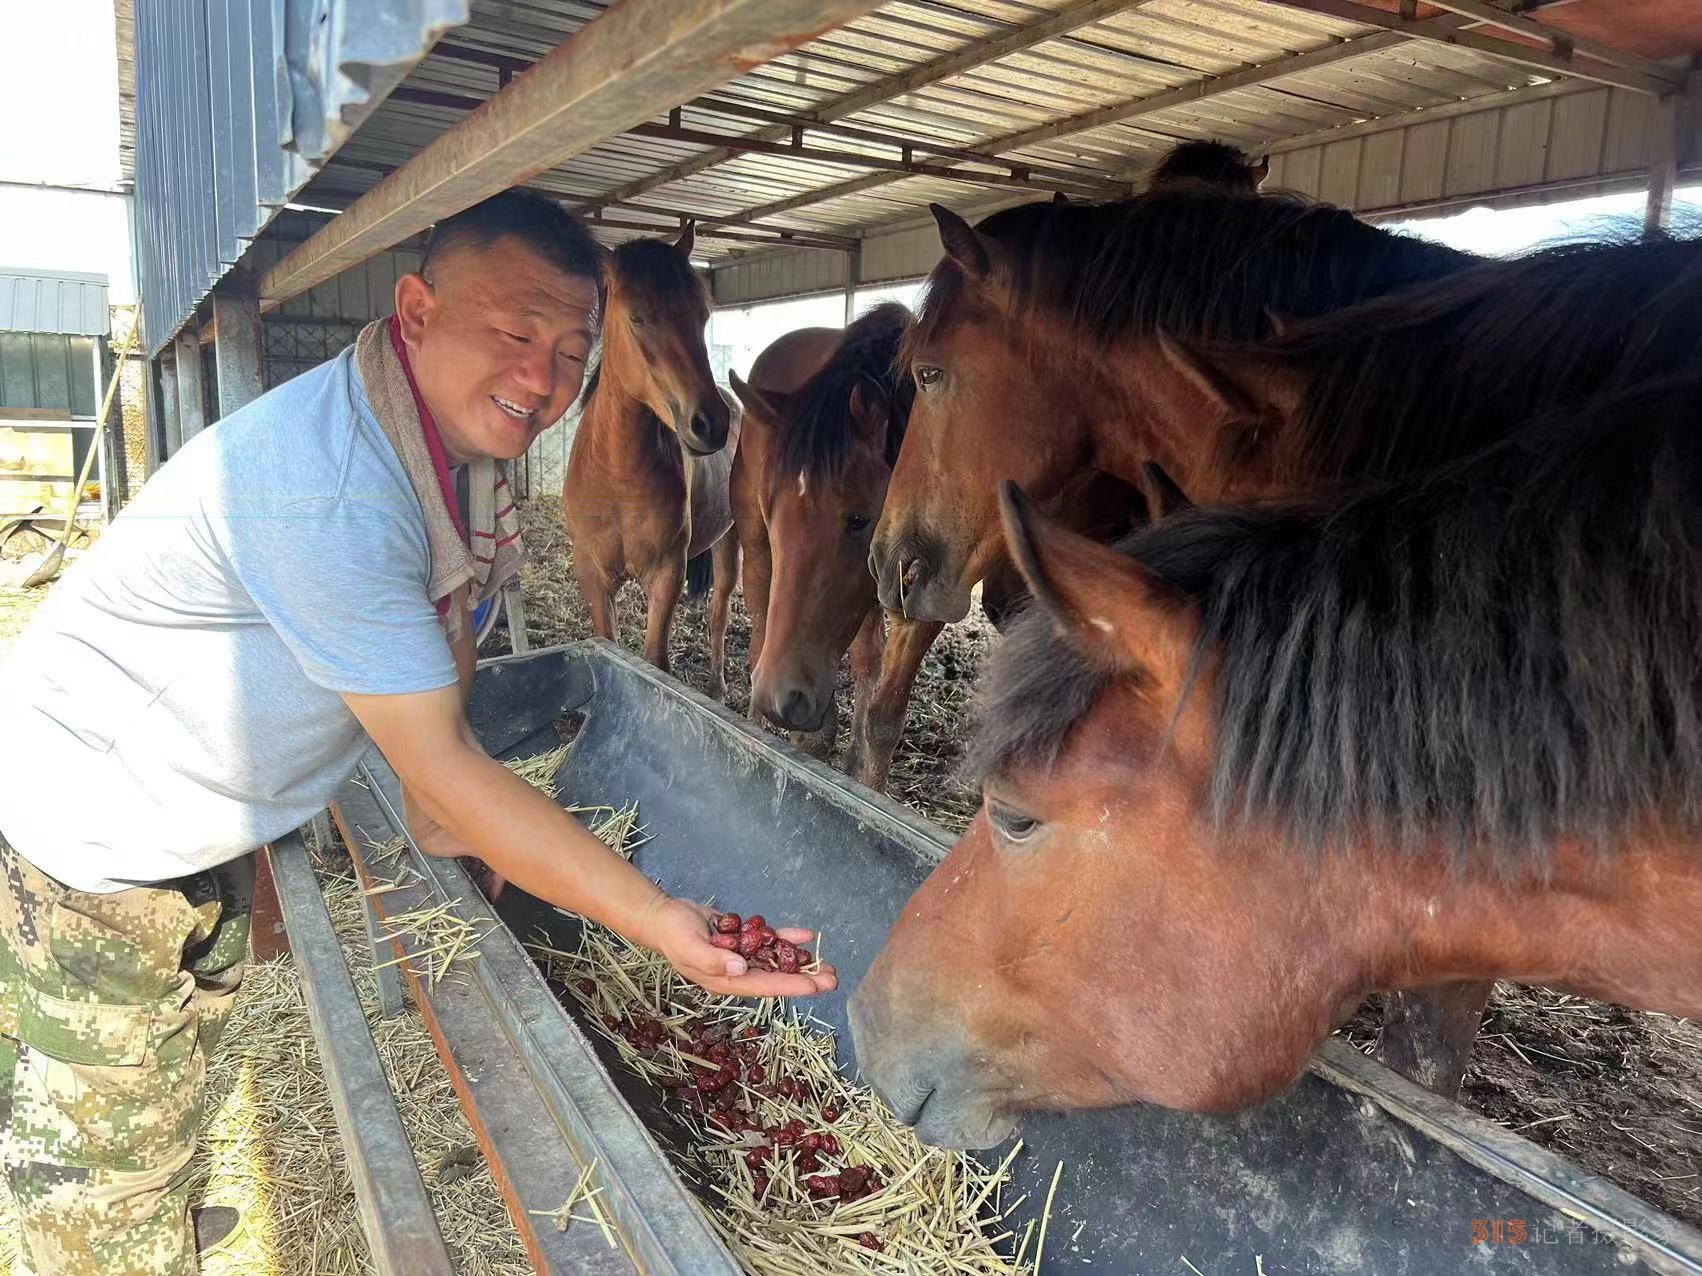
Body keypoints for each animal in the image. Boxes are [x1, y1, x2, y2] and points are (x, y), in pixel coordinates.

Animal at [565, 224, 738, 694]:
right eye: (638, 317)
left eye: (702, 315)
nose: (711, 424)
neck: (617, 476)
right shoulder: (594, 576)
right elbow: (609, 644)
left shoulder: (666, 575)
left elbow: (655, 661)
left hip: (731, 543)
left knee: (719, 613)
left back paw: (718, 687)